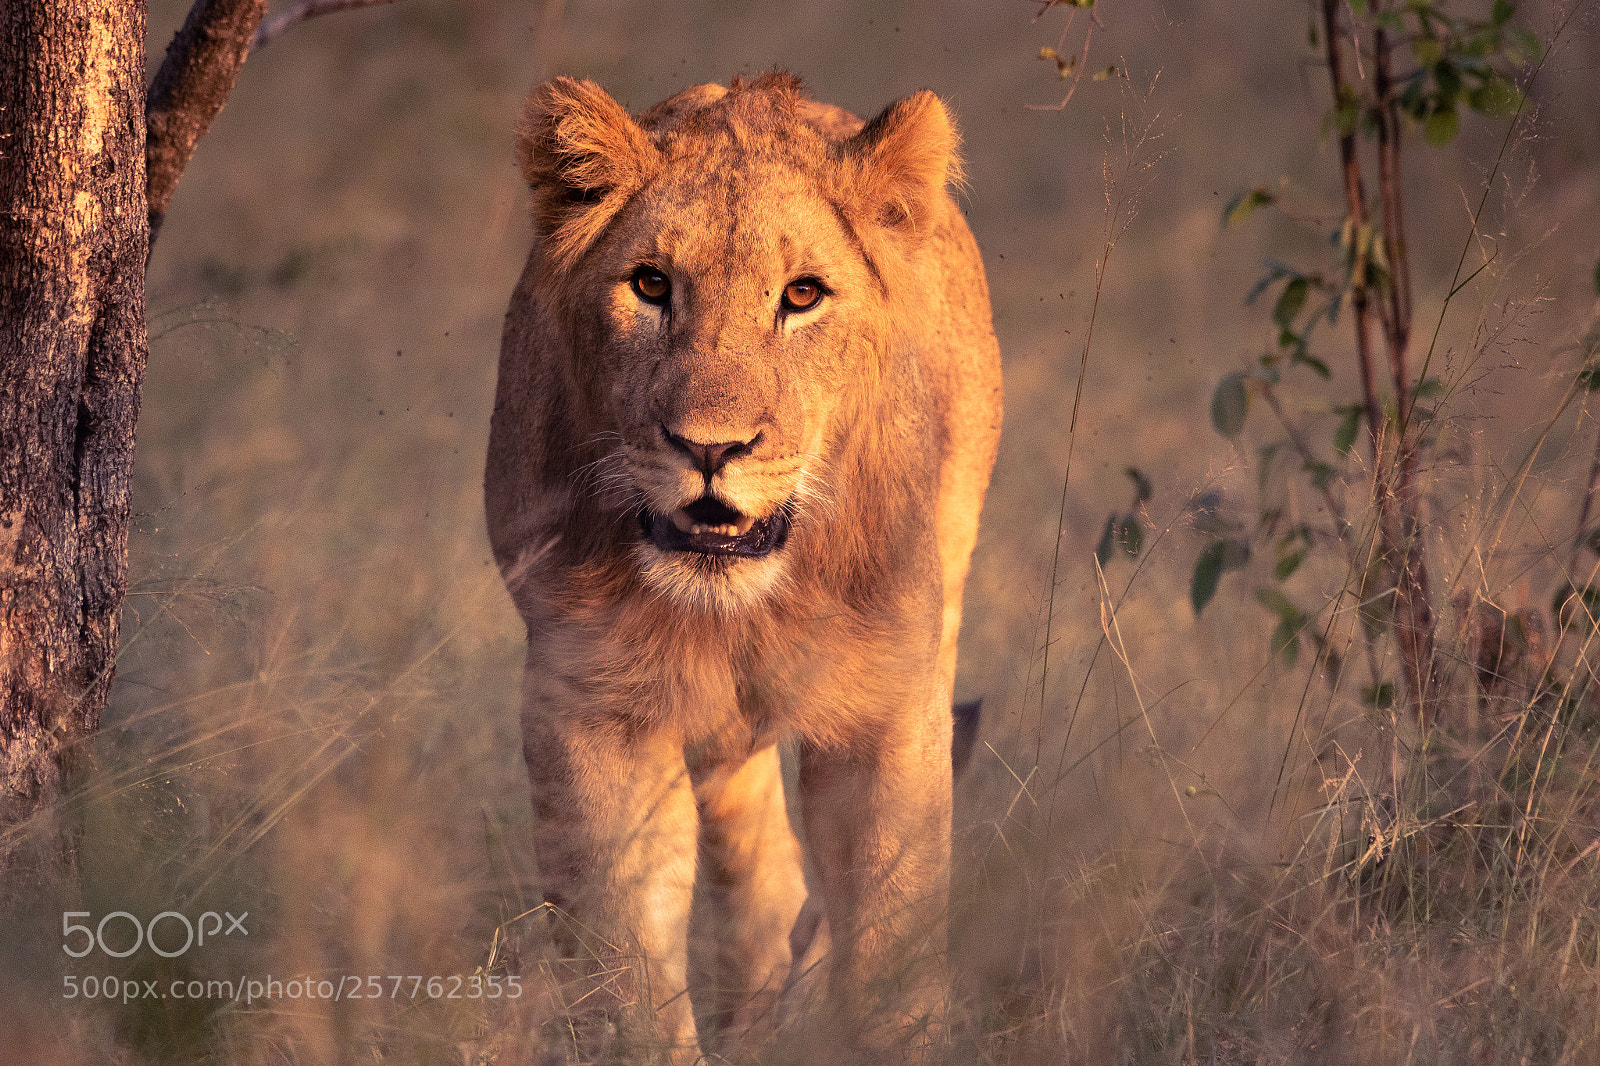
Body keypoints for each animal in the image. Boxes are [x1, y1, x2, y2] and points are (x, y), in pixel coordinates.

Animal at [485, 71, 1002, 1063]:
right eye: (651, 284)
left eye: (802, 295)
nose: (710, 448)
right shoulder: (587, 700)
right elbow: (625, 963)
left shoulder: (890, 701)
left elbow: (892, 940)